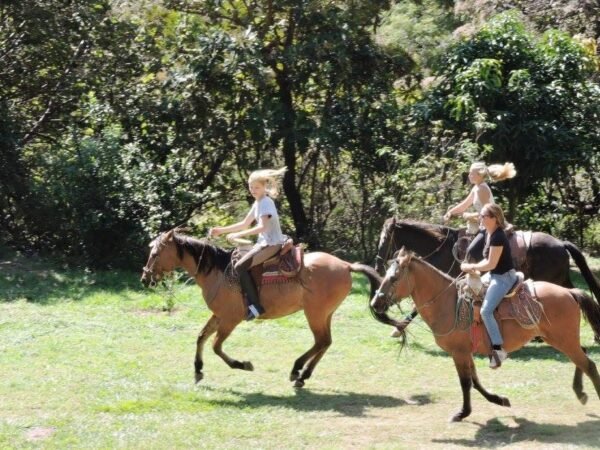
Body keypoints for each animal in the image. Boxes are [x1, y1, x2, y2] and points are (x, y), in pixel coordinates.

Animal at [142, 230, 380, 388]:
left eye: (155, 254)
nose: (145, 278)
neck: (218, 272)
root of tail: (346, 265)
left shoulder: (230, 319)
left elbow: (216, 346)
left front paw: (242, 364)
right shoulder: (219, 315)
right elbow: (201, 337)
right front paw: (198, 370)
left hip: (315, 313)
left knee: (321, 341)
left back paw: (297, 370)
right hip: (324, 314)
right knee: (325, 342)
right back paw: (303, 375)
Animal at [368, 248, 600, 420]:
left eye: (394, 277)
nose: (375, 303)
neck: (448, 304)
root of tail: (569, 292)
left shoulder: (459, 352)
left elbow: (466, 382)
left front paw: (462, 413)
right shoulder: (466, 352)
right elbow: (475, 380)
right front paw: (499, 400)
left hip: (563, 340)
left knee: (588, 364)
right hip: (562, 339)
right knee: (583, 357)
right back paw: (580, 392)